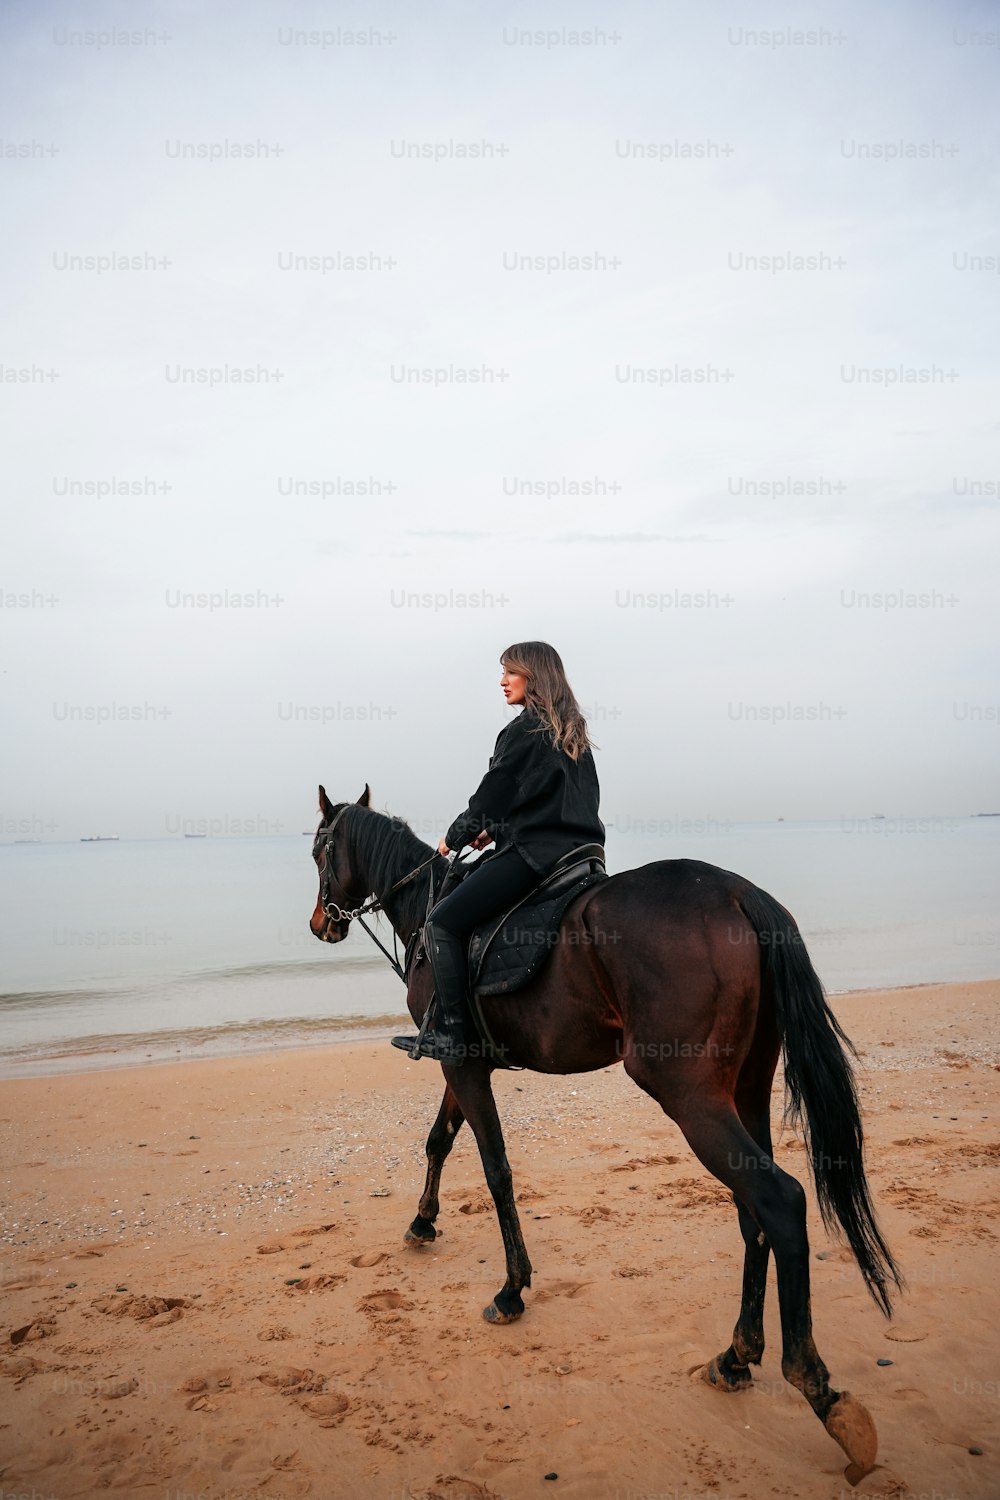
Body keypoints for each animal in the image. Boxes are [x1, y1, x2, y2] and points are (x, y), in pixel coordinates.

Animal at [308, 786, 905, 1488]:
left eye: (319, 850)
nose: (321, 922)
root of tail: (737, 893)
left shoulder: (462, 1065)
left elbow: (494, 1168)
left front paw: (512, 1287)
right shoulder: (463, 1064)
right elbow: (440, 1140)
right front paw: (423, 1222)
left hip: (689, 1096)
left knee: (779, 1202)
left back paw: (817, 1389)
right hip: (745, 1089)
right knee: (751, 1209)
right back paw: (736, 1355)